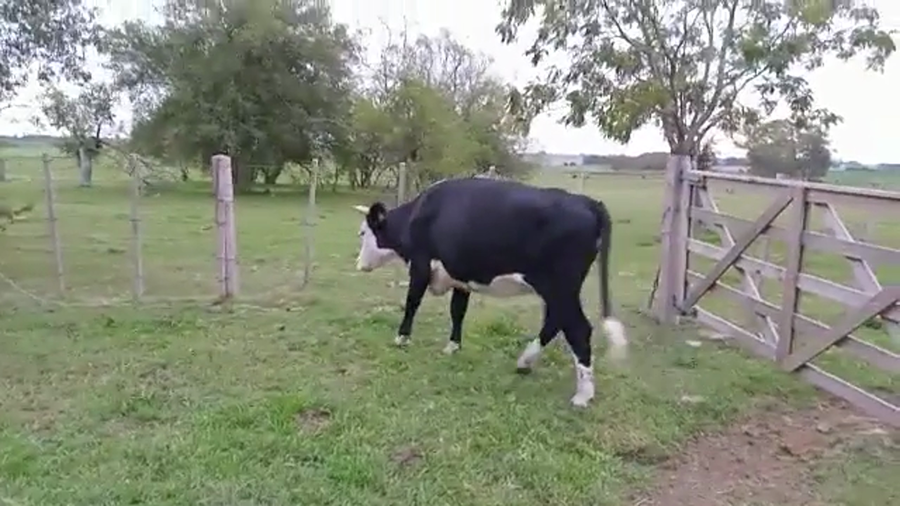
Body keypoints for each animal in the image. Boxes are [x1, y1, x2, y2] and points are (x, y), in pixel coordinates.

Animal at [352, 177, 627, 407]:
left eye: (363, 232)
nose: (358, 264)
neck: (418, 214)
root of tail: (588, 201)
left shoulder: (421, 265)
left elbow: (412, 302)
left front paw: (401, 339)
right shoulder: (461, 277)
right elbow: (457, 311)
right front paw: (452, 347)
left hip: (559, 287)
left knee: (578, 329)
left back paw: (582, 396)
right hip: (558, 291)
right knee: (555, 322)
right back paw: (525, 362)